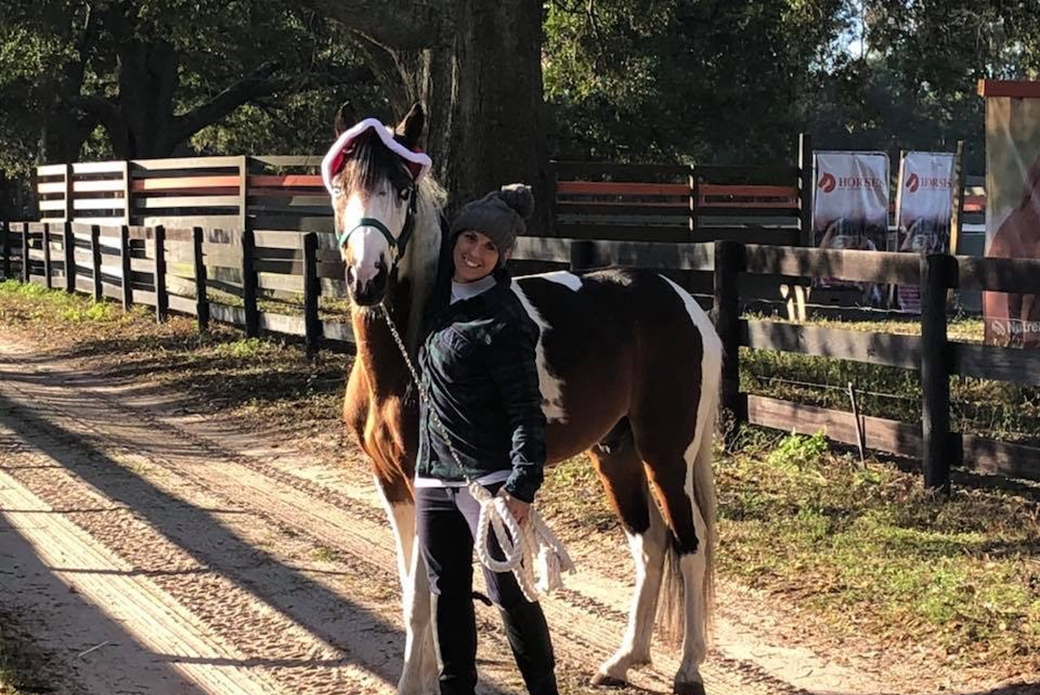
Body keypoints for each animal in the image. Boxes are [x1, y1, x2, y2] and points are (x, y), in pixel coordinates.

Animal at [328, 104, 719, 695]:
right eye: (340, 185)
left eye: (402, 189)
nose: (365, 278)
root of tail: (684, 302)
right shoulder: (391, 483)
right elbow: (415, 589)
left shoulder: (423, 481)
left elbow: (423, 594)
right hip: (617, 453)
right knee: (650, 546)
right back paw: (623, 660)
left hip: (667, 455)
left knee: (689, 546)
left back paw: (689, 669)